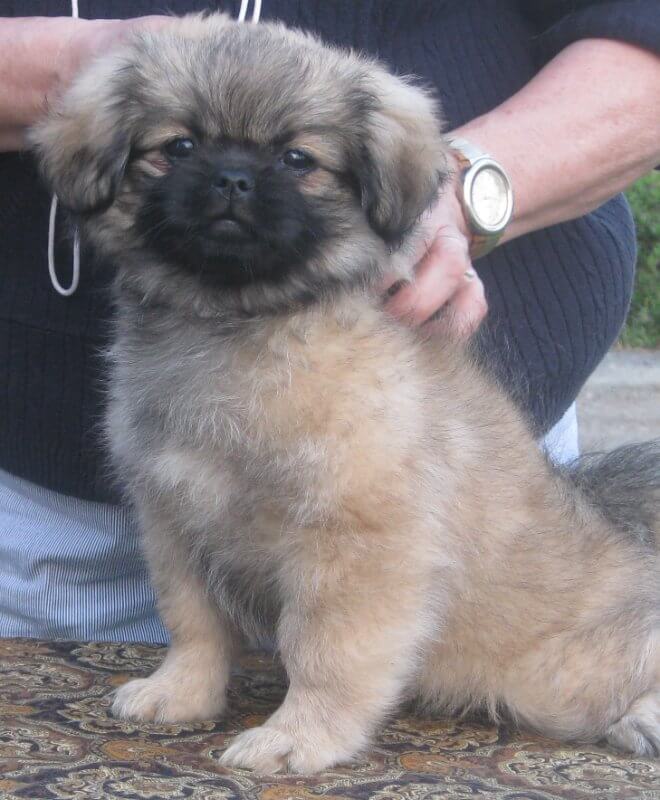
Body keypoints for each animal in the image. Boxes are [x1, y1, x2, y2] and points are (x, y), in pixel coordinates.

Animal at [32, 12, 660, 776]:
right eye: (178, 147)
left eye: (298, 159)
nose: (232, 178)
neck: (238, 323)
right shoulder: (176, 520)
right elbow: (195, 625)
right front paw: (179, 693)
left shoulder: (354, 545)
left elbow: (324, 653)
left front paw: (297, 736)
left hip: (562, 674)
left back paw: (641, 718)